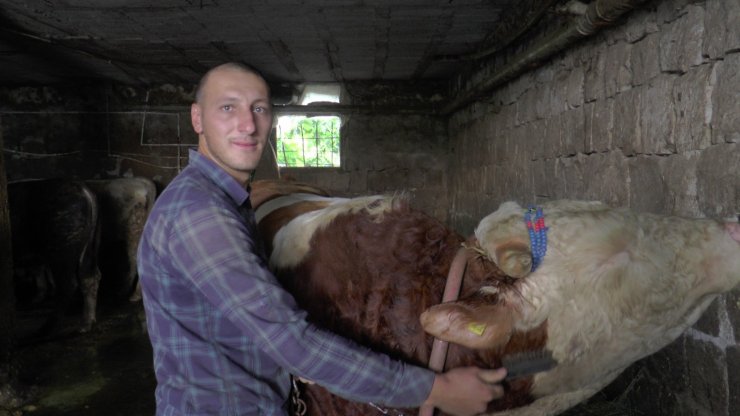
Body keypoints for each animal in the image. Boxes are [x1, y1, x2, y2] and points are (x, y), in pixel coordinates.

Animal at [8, 178, 102, 334]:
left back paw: (45, 329)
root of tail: (84, 190)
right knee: (90, 276)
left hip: (63, 243)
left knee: (68, 284)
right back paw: (85, 326)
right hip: (88, 246)